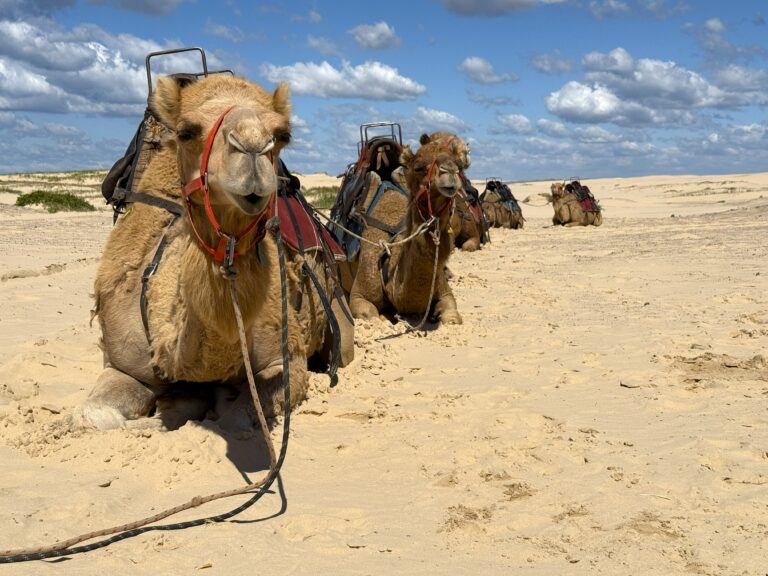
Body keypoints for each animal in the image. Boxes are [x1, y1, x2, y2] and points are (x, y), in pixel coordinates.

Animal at [78, 74, 353, 430]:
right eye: (186, 132)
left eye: (283, 135)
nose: (251, 147)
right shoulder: (124, 361)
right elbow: (95, 416)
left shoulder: (286, 358)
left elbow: (238, 413)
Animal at [346, 138, 465, 325]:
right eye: (418, 167)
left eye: (459, 165)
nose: (450, 171)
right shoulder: (359, 296)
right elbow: (371, 314)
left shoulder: (445, 293)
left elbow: (451, 315)